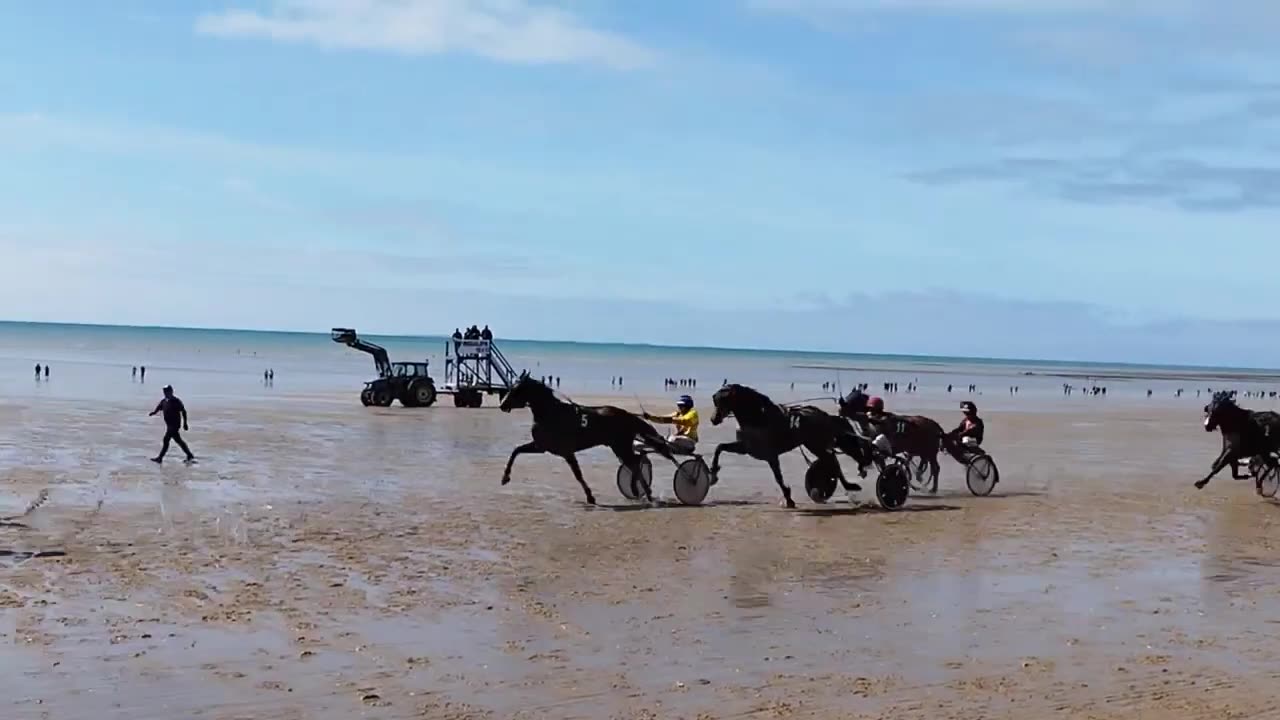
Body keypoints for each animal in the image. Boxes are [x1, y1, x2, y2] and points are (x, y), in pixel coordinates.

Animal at [499, 372, 677, 505]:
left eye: (516, 389)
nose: (502, 405)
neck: (552, 414)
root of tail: (627, 415)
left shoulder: (564, 451)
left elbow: (578, 474)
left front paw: (590, 497)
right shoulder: (541, 446)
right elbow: (516, 451)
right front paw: (505, 477)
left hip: (621, 446)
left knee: (635, 464)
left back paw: (646, 493)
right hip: (619, 447)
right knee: (635, 463)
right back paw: (642, 491)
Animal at [709, 383, 870, 508]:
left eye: (722, 401)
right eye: (715, 400)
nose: (713, 419)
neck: (759, 419)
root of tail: (825, 416)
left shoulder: (771, 456)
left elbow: (778, 478)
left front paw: (789, 499)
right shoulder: (745, 448)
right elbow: (719, 447)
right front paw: (713, 473)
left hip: (815, 445)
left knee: (832, 462)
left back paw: (845, 486)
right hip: (816, 445)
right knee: (832, 462)